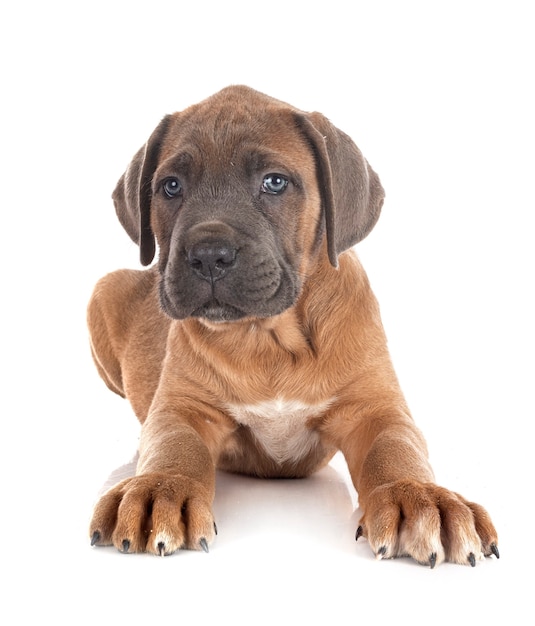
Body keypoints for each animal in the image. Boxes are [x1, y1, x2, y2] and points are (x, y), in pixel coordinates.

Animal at [87, 84, 498, 564]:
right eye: (171, 186)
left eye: (274, 182)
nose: (208, 255)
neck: (269, 338)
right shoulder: (184, 408)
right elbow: (175, 446)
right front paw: (158, 488)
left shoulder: (375, 409)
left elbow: (396, 451)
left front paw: (419, 495)